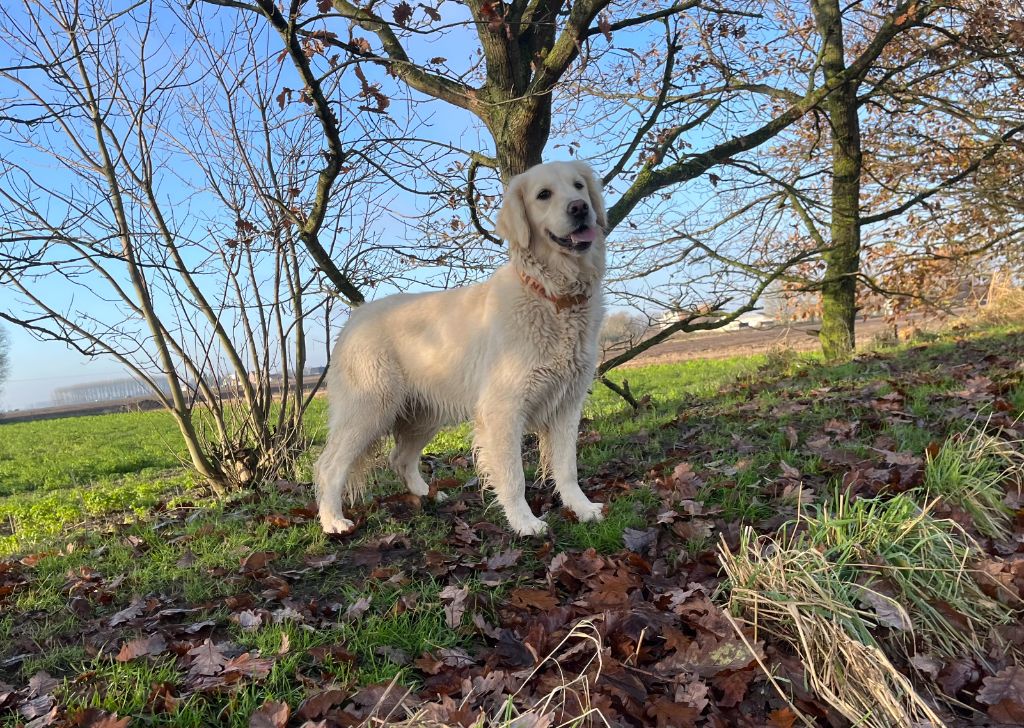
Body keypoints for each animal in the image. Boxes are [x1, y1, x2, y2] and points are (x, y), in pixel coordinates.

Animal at [315, 162, 606, 536]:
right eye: (544, 194)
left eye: (579, 186)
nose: (580, 208)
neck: (552, 296)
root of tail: (356, 316)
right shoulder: (502, 410)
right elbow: (513, 476)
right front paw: (525, 522)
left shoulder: (568, 405)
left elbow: (567, 468)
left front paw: (581, 508)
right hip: (369, 408)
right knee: (330, 465)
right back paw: (333, 520)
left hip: (422, 414)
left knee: (399, 458)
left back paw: (425, 494)